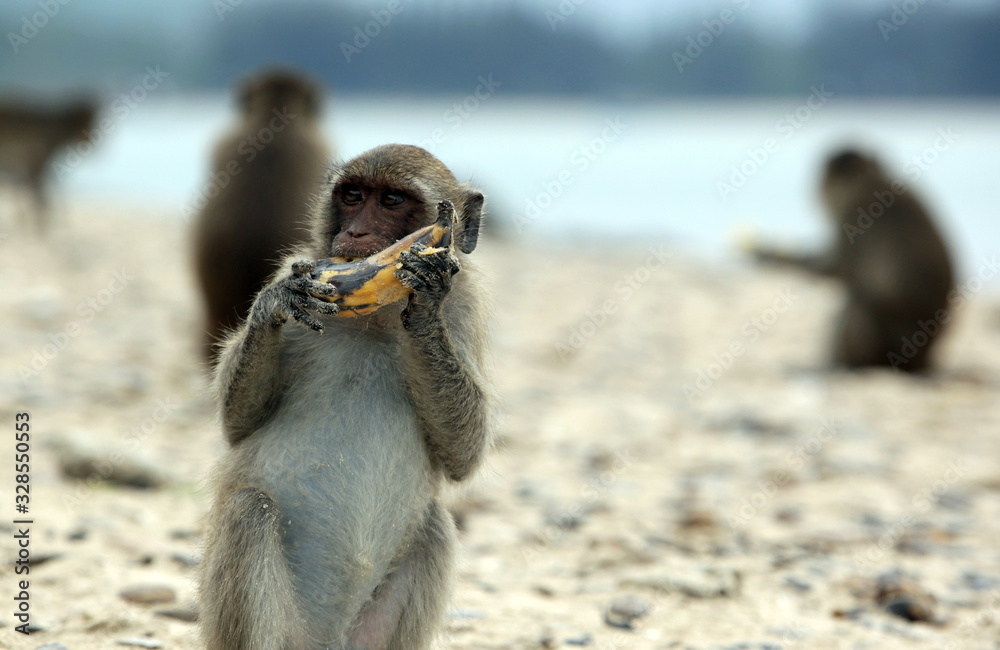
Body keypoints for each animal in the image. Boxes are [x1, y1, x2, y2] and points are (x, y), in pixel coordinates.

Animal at [0, 98, 97, 232]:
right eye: (88, 123)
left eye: (92, 122)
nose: (92, 140)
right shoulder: (35, 169)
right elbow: (41, 201)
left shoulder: (28, 171)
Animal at [199, 144, 493, 649]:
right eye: (353, 195)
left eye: (392, 200)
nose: (355, 232)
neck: (374, 317)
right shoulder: (305, 266)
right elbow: (238, 423)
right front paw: (278, 301)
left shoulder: (464, 306)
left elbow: (462, 456)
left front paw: (426, 293)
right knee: (250, 511)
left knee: (435, 527)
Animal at [750, 148, 954, 372]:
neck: (868, 181)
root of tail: (921, 361)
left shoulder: (852, 218)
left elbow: (831, 269)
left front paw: (767, 254)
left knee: (858, 302)